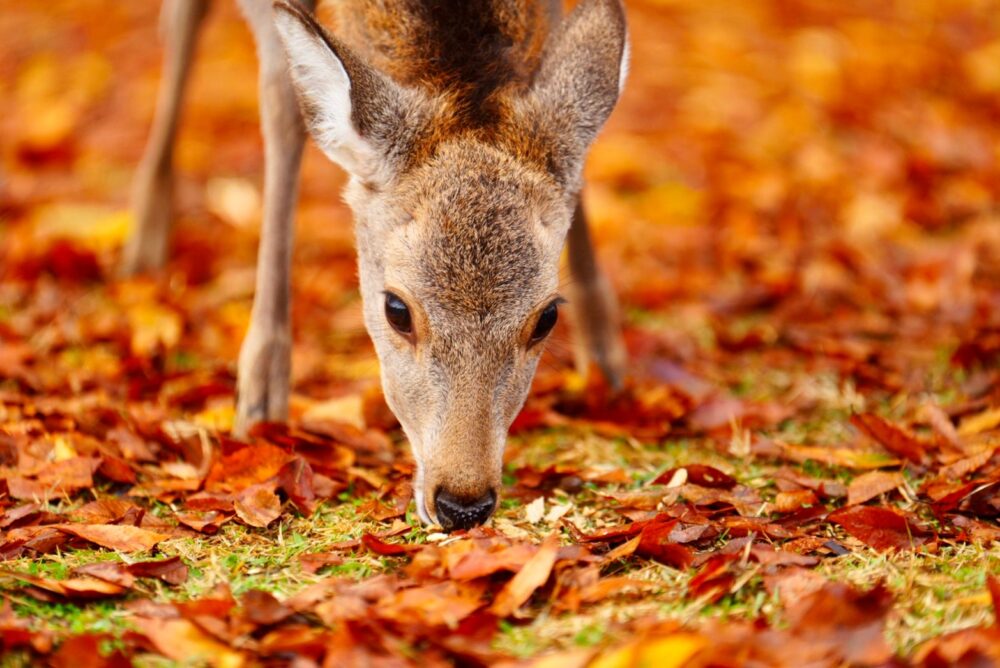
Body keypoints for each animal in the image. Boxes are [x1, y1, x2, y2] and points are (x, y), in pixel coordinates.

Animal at [121, 0, 629, 530]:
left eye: (547, 316)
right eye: (396, 310)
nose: (463, 504)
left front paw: (606, 356)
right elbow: (284, 105)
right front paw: (259, 402)